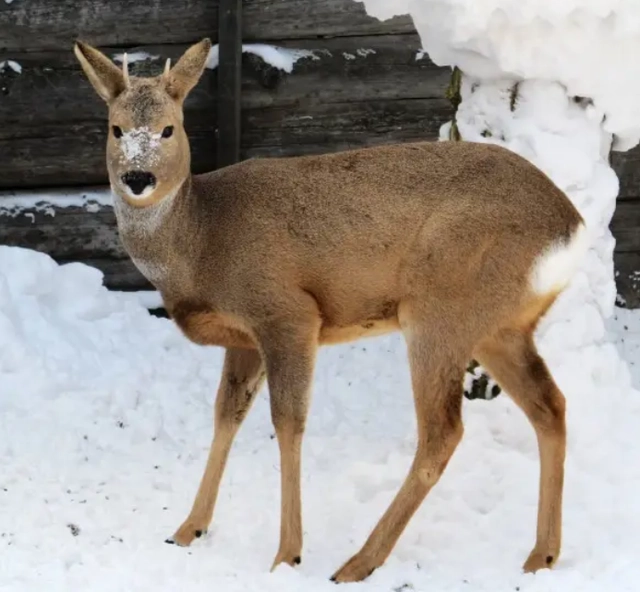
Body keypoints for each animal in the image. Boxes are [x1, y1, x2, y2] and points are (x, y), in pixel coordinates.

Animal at [75, 38, 592, 584]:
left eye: (169, 128)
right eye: (115, 128)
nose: (137, 177)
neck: (202, 241)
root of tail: (571, 229)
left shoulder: (287, 312)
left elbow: (288, 423)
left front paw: (287, 554)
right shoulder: (243, 339)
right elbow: (225, 415)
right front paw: (187, 529)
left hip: (441, 307)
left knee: (444, 431)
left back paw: (358, 562)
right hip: (502, 326)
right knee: (550, 406)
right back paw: (541, 556)